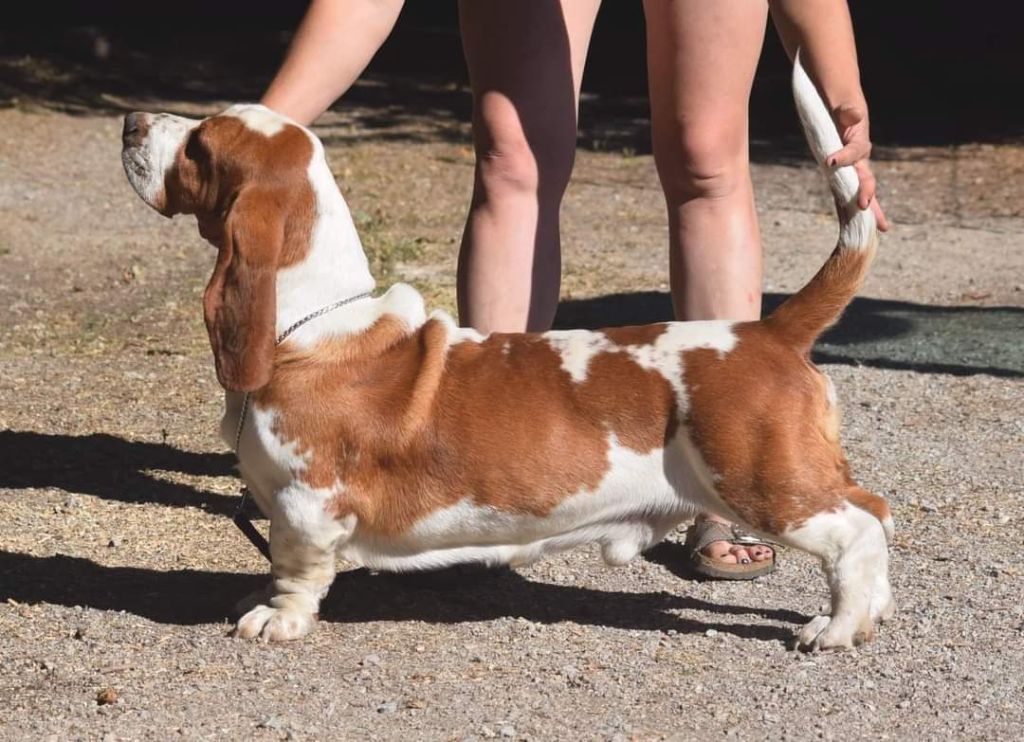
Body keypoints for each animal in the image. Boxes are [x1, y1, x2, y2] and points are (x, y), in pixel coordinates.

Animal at [121, 59, 897, 646]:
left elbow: (295, 574)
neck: (313, 320)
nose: (130, 122)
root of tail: (768, 330)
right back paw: (869, 610)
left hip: (764, 484)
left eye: (200, 147)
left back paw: (834, 628)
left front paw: (273, 620)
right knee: (873, 516)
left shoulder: (306, 506)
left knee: (861, 524)